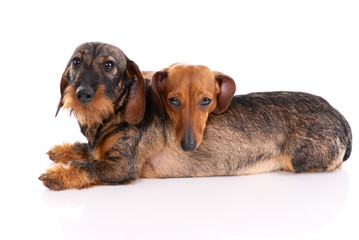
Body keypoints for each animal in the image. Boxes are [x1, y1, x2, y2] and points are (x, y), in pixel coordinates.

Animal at [38, 42, 352, 190]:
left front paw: (58, 175)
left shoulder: (121, 167)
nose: (82, 94)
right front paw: (61, 151)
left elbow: (89, 165)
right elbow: (87, 151)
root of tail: (339, 116)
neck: (110, 116)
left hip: (303, 160)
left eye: (109, 65)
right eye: (76, 62)